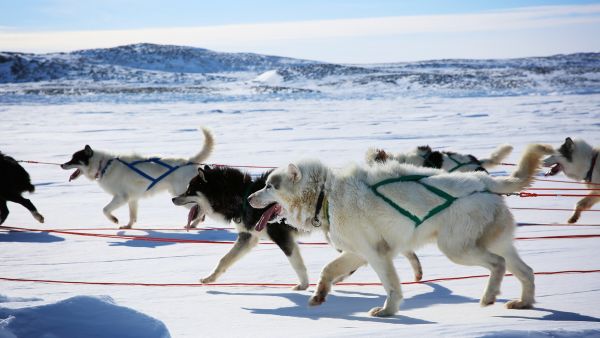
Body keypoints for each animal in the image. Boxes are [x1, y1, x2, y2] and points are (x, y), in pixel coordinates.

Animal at [61, 128, 214, 228]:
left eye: (74, 159)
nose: (62, 165)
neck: (103, 165)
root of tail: (189, 161)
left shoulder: (121, 197)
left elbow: (105, 210)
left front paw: (114, 219)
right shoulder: (132, 199)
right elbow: (132, 216)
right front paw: (128, 226)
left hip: (182, 196)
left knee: (201, 209)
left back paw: (194, 223)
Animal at [248, 145, 552, 316]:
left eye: (270, 186)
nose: (249, 198)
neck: (326, 193)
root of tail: (483, 181)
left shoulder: (377, 254)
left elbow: (391, 286)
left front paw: (388, 311)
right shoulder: (358, 252)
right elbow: (327, 271)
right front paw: (319, 295)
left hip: (457, 249)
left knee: (498, 264)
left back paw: (490, 295)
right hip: (495, 244)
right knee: (526, 272)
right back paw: (523, 303)